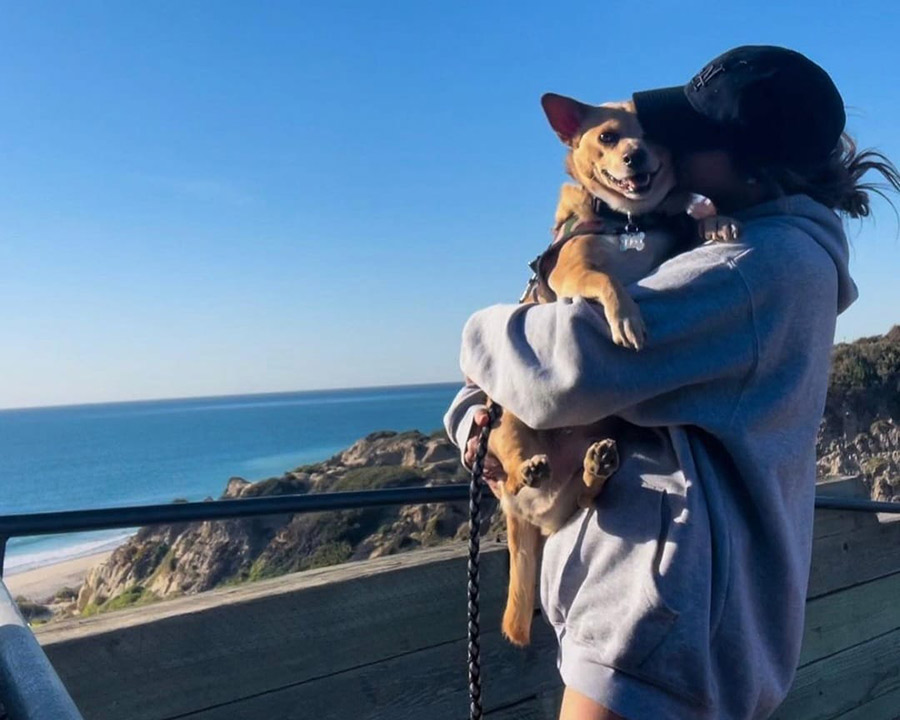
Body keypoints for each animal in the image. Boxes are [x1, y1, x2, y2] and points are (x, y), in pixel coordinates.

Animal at [492, 91, 740, 648]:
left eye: (653, 133)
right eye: (607, 136)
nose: (635, 155)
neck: (627, 221)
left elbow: (688, 219)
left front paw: (713, 222)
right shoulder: (572, 271)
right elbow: (607, 281)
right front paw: (626, 317)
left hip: (587, 456)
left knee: (582, 495)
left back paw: (594, 466)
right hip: (508, 424)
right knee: (514, 472)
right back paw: (529, 469)